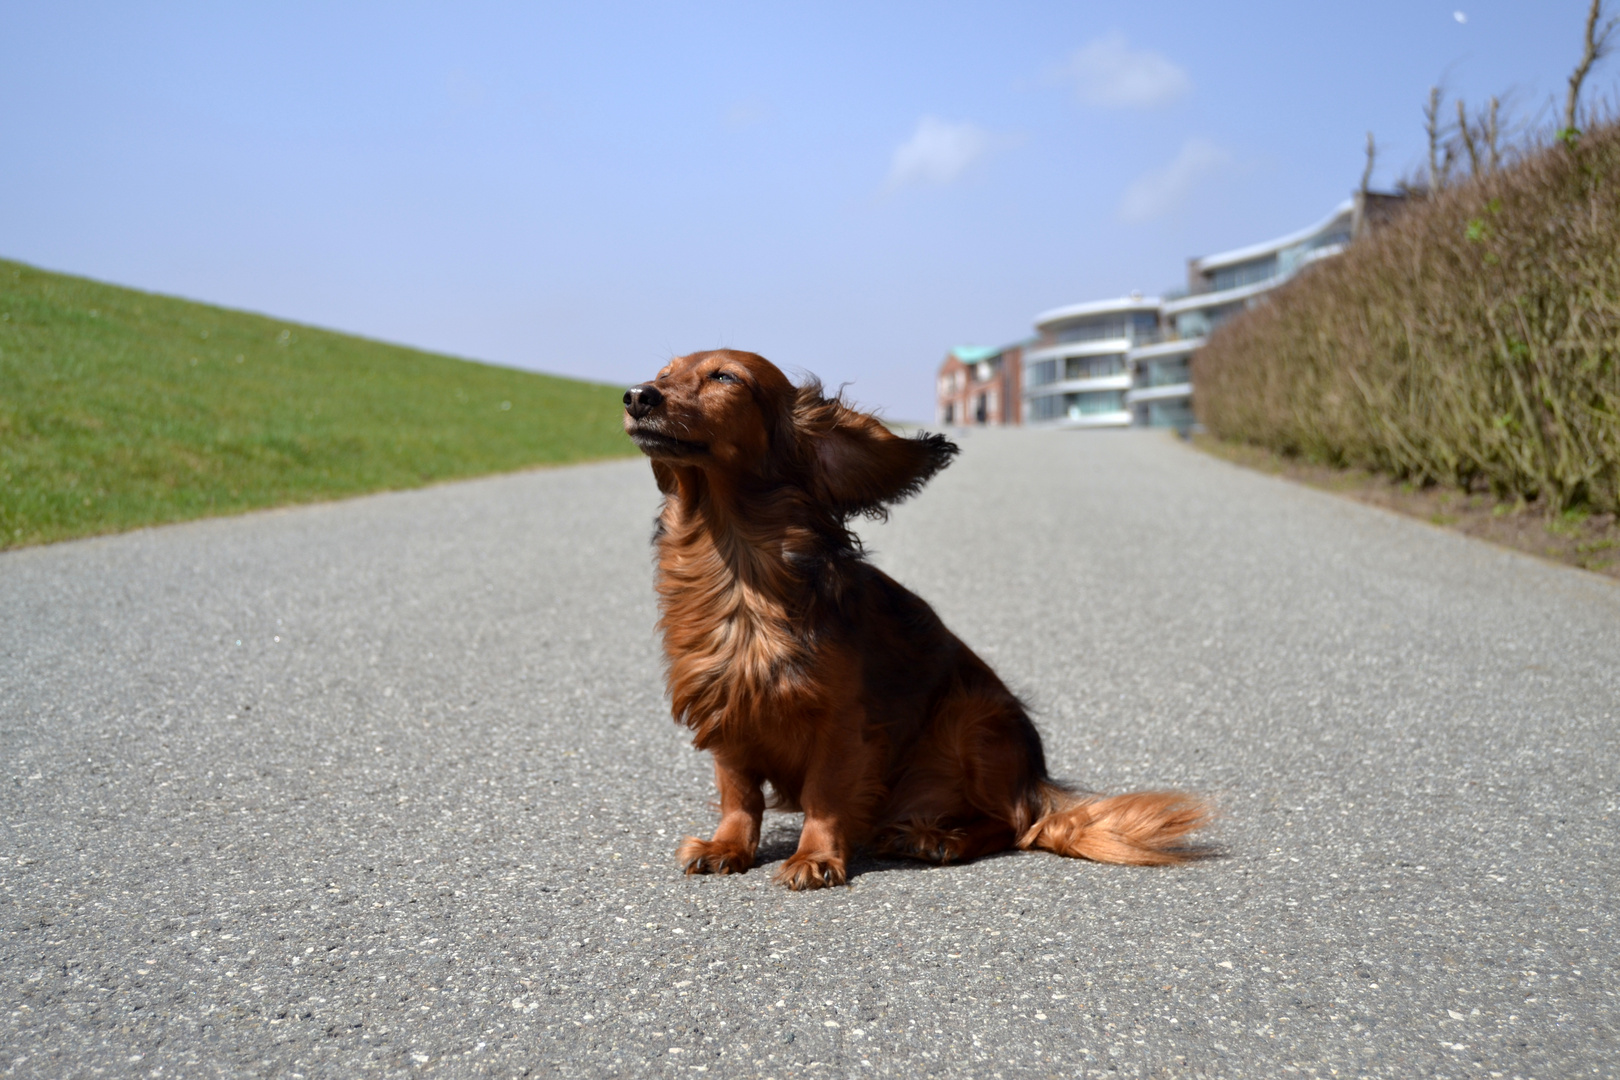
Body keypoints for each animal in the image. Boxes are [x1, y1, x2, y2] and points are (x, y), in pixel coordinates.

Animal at [625, 351, 1211, 893]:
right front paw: (726, 846)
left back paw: (938, 838)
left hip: (971, 717)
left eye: (725, 378)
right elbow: (739, 794)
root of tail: (1035, 781)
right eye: (664, 371)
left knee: (1012, 824)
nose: (635, 396)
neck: (738, 571)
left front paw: (814, 857)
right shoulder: (727, 707)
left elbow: (823, 794)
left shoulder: (841, 721)